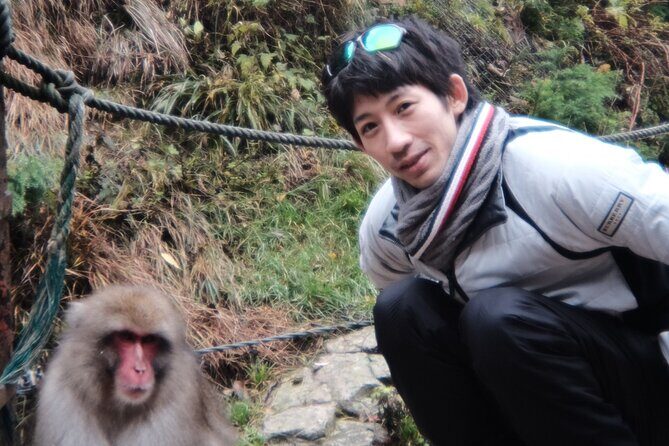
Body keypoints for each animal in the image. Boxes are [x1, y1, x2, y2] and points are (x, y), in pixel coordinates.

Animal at [33, 285, 238, 446]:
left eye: (149, 340)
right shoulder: (63, 397)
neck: (119, 408)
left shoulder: (176, 405)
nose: (139, 369)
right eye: (126, 337)